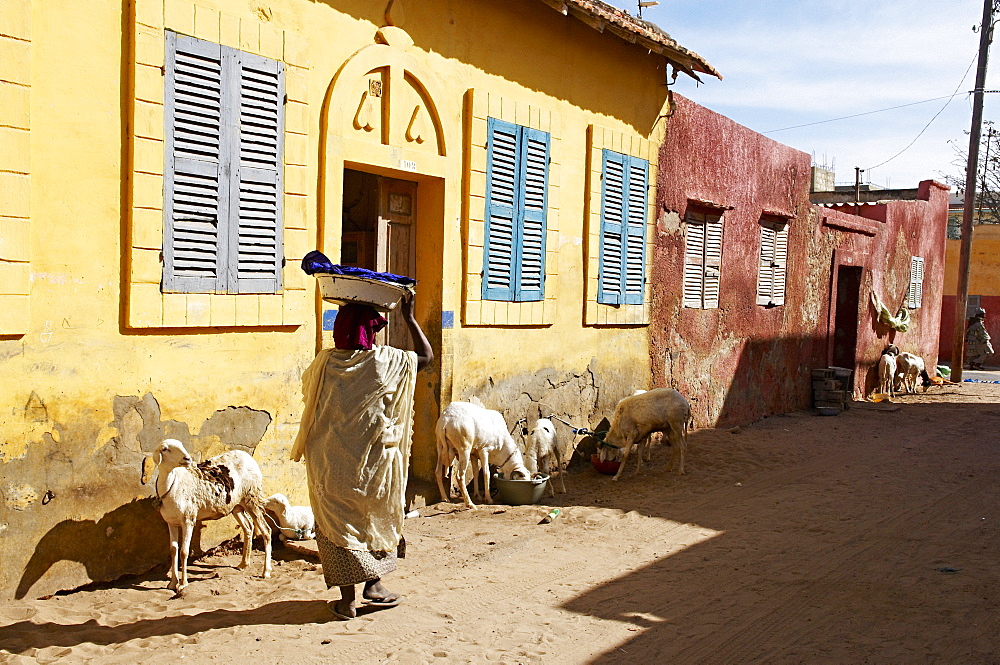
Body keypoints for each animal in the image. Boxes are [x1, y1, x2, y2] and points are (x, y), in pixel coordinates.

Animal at [152, 438, 272, 588]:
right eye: (165, 449)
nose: (187, 458)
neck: (173, 484)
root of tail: (248, 457)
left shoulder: (188, 520)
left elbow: (184, 552)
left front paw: (183, 583)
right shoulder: (171, 522)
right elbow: (173, 550)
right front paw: (173, 583)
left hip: (252, 497)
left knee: (266, 531)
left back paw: (266, 571)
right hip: (237, 505)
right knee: (248, 527)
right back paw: (244, 564)